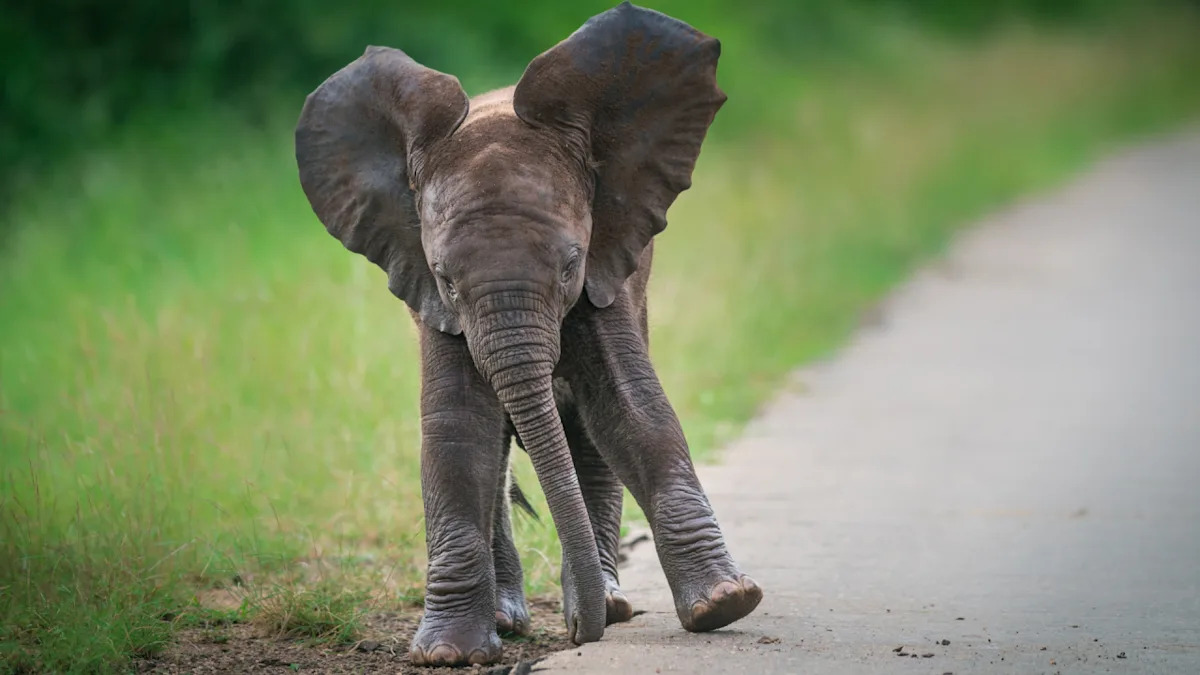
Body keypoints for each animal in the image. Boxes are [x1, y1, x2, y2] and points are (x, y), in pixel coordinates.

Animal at [294, 2, 761, 666]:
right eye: (446, 278)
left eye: (570, 264)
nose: (578, 633)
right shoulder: (428, 292)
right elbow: (458, 427)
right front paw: (449, 655)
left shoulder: (605, 266)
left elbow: (630, 408)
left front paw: (725, 606)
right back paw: (511, 617)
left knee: (585, 435)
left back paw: (608, 602)